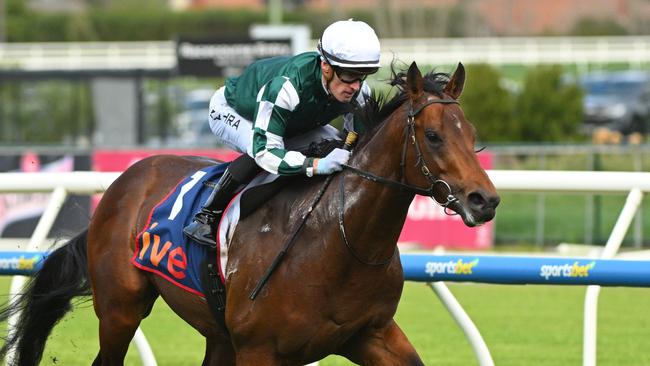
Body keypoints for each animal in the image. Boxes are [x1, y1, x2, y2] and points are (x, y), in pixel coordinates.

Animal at [0, 61, 498, 364]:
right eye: (433, 135)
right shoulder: (260, 350)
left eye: (472, 132)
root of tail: (122, 184)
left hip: (216, 333)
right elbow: (265, 146)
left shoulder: (370, 334)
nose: (485, 200)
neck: (339, 240)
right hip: (122, 308)